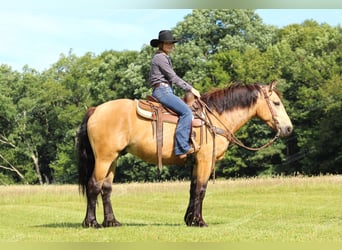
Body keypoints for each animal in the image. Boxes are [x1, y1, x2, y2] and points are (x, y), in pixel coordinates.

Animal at [76, 80, 292, 229]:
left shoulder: (196, 162)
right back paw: (91, 222)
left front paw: (190, 220)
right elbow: (201, 189)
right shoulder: (205, 160)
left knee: (106, 188)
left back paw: (111, 222)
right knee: (94, 185)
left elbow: (193, 188)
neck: (214, 118)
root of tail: (95, 110)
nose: (289, 128)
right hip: (104, 158)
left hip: (113, 158)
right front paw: (199, 221)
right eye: (276, 103)